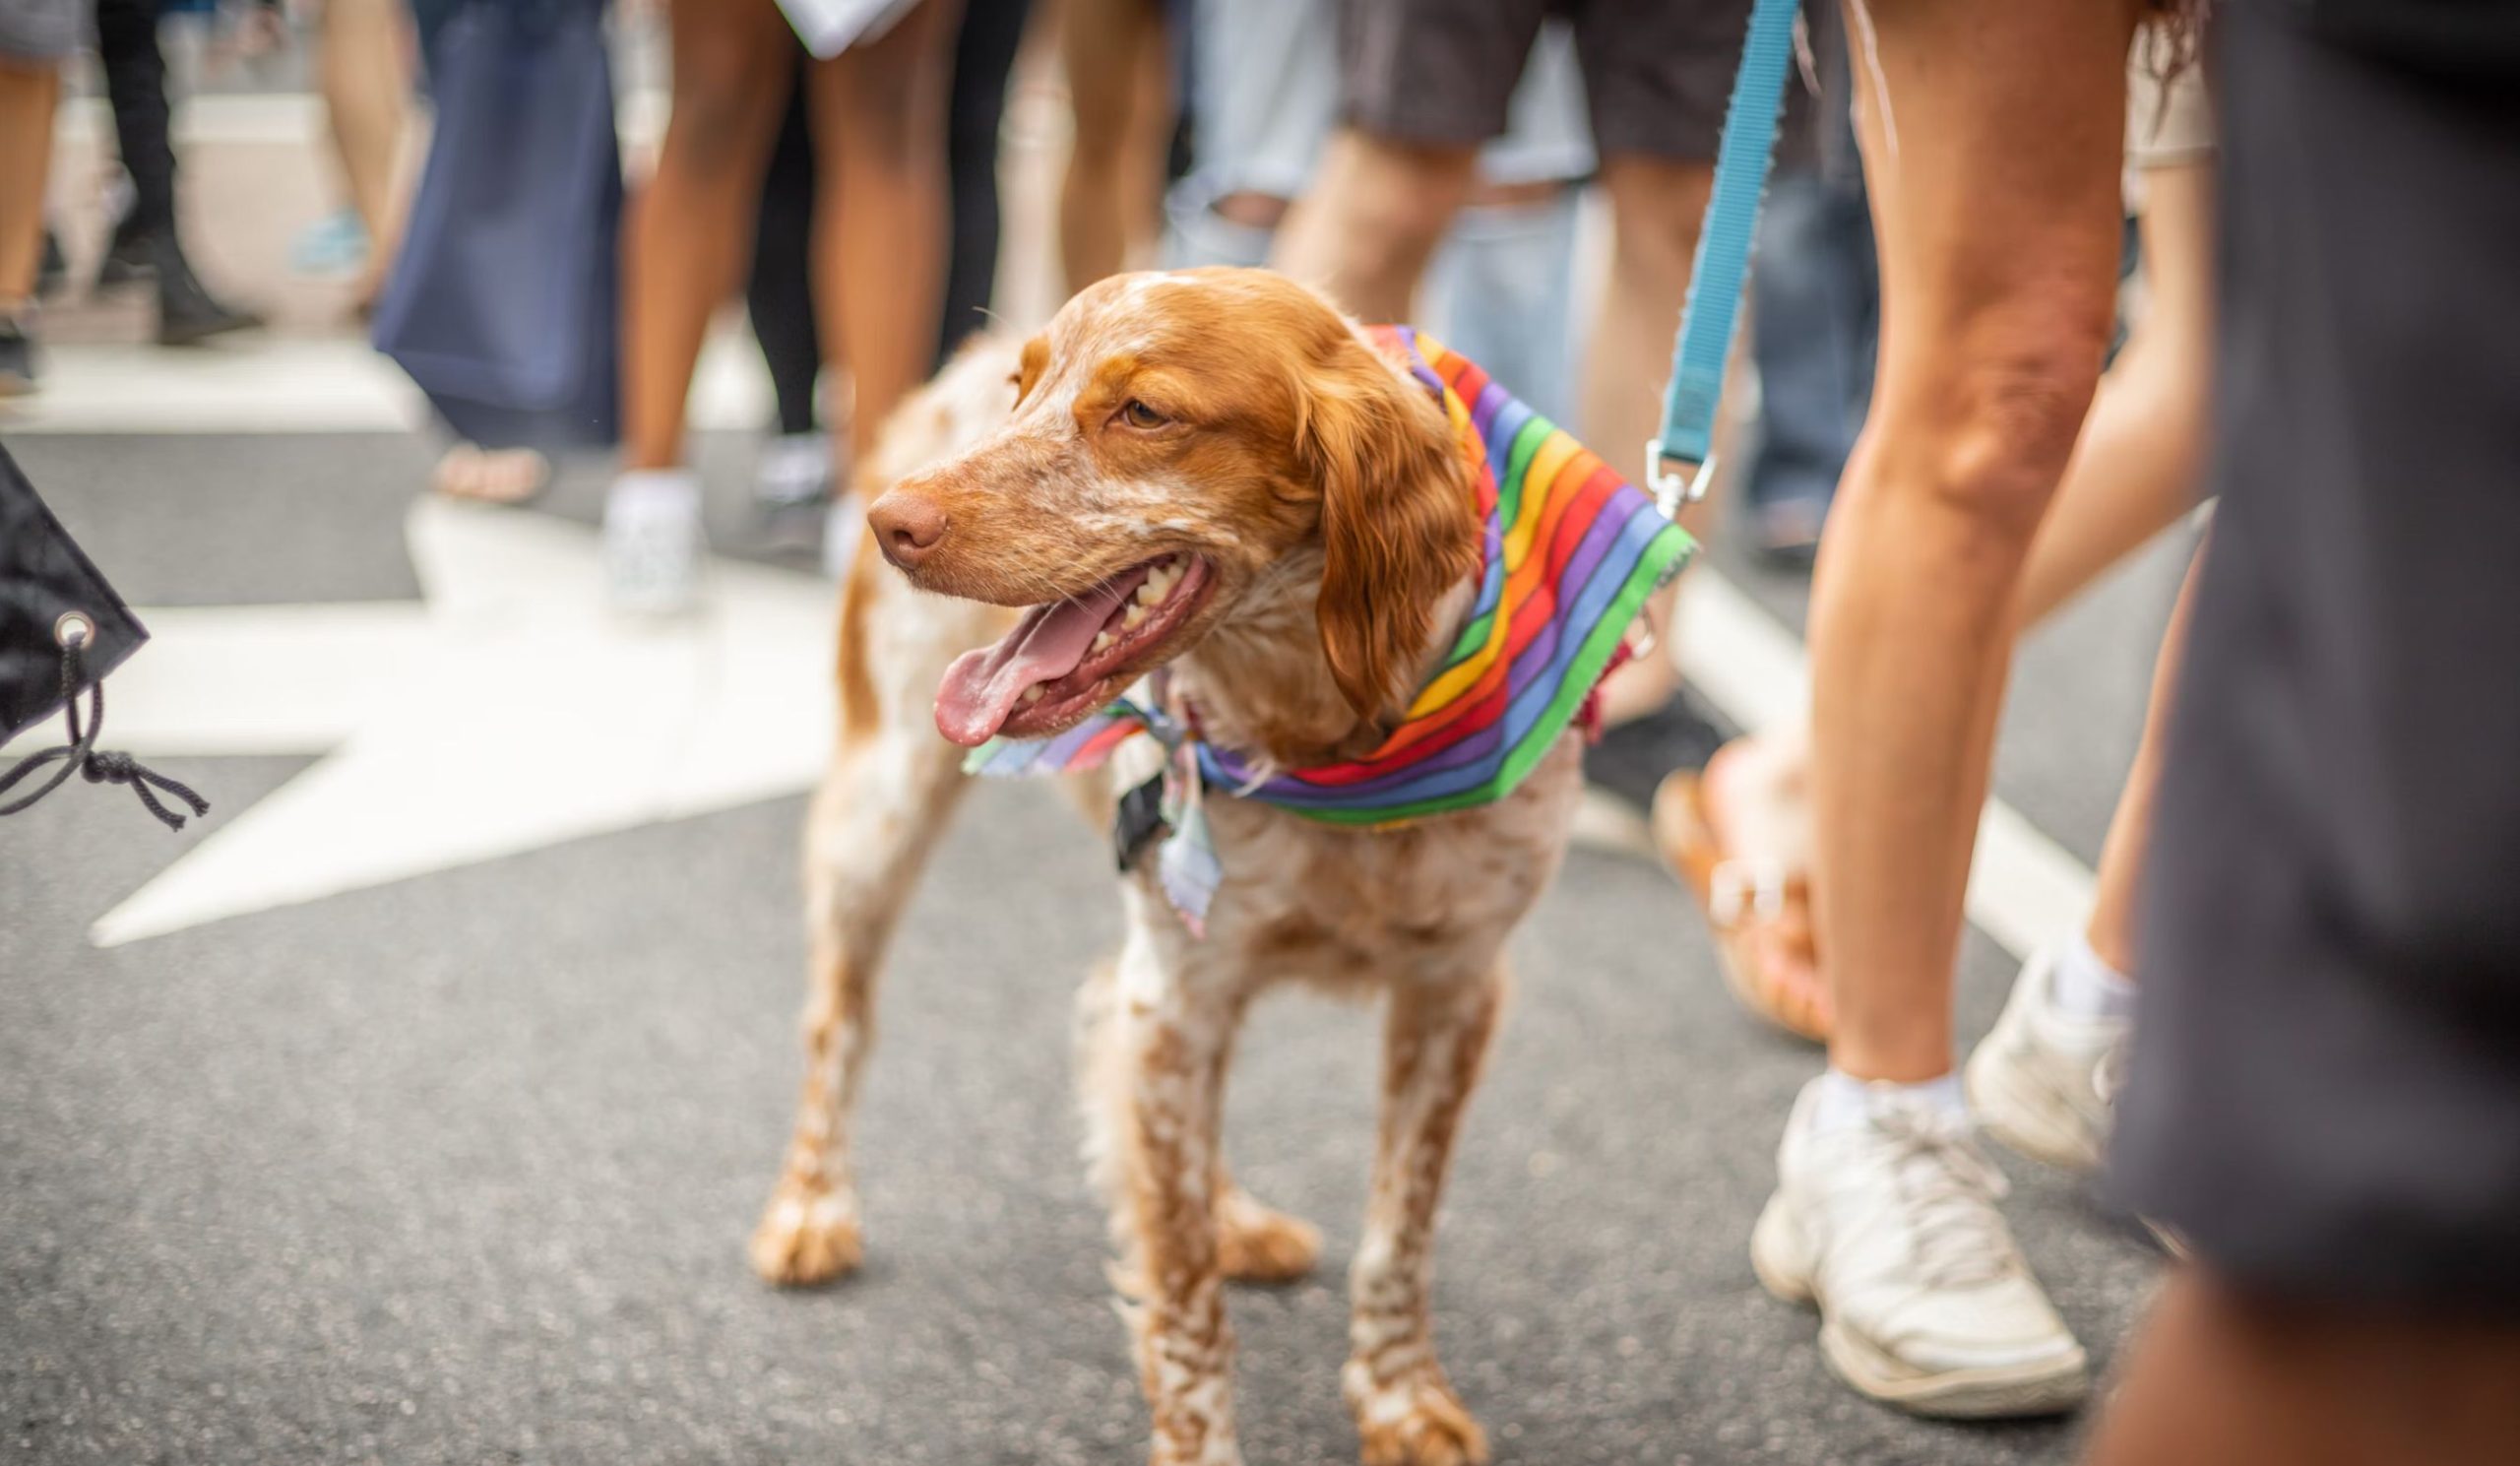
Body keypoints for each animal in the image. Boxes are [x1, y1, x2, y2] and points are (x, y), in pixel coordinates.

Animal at [745, 269, 1592, 1466]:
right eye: (1024, 392)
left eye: (1145, 412)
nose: (890, 522)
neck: (1323, 729)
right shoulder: (1179, 995)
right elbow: (1186, 1291)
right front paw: (1203, 1437)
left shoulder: (1453, 987)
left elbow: (1398, 1231)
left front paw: (1399, 1397)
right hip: (885, 805)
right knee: (840, 1020)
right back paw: (812, 1208)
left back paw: (1231, 1213)